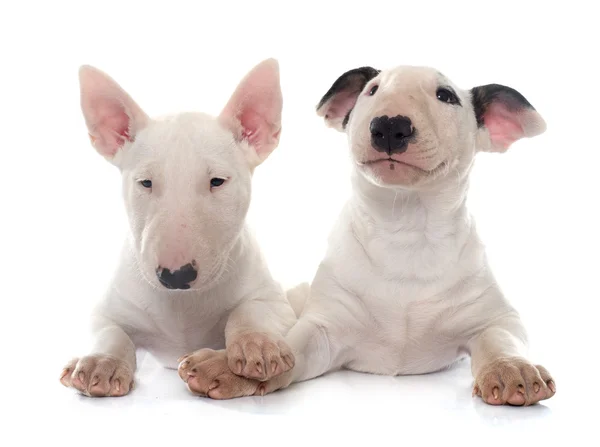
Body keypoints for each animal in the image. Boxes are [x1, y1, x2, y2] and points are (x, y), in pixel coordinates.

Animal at [58, 59, 298, 400]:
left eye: (217, 181)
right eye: (145, 182)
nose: (176, 276)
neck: (182, 305)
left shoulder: (274, 299)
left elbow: (251, 310)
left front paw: (258, 345)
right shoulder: (107, 307)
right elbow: (108, 330)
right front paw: (101, 363)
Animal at [186, 65, 556, 406]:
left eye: (446, 96)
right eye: (372, 90)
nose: (389, 126)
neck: (405, 230)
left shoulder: (497, 317)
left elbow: (500, 338)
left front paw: (513, 369)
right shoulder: (323, 327)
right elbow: (292, 343)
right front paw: (230, 364)